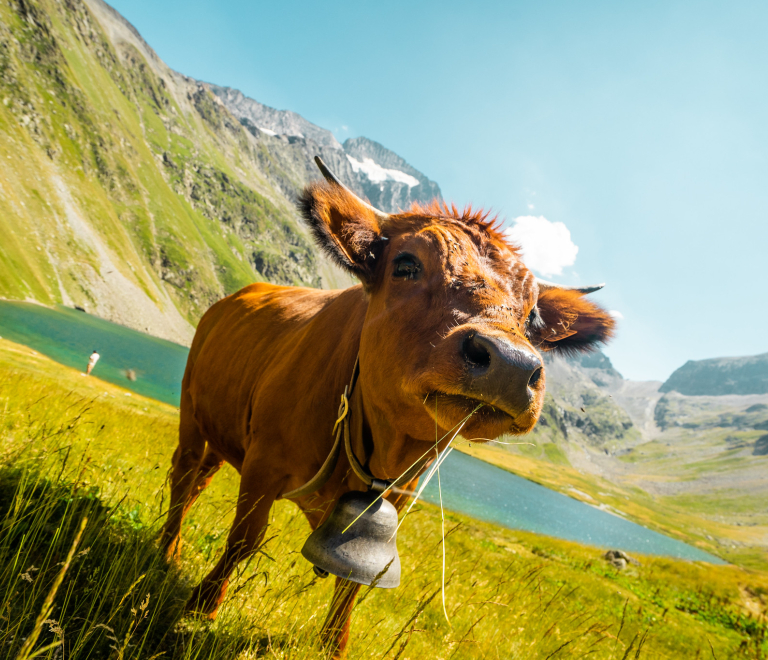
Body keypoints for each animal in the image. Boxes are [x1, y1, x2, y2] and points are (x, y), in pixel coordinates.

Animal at [159, 159, 616, 656]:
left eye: (533, 317)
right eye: (406, 264)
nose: (511, 365)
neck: (378, 447)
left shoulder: (392, 503)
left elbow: (356, 582)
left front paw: (333, 646)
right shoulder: (265, 462)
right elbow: (244, 539)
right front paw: (201, 608)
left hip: (222, 430)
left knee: (200, 480)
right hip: (190, 408)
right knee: (183, 477)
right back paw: (167, 553)